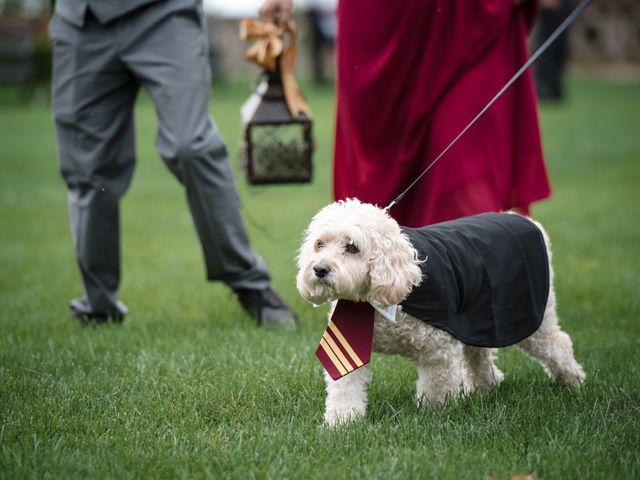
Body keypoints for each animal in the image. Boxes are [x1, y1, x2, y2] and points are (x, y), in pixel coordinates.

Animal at [296, 198, 584, 424]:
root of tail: (523, 219)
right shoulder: (349, 345)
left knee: (558, 343)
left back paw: (572, 381)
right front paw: (341, 422)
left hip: (532, 317)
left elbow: (436, 388)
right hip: (477, 320)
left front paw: (433, 415)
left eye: (352, 247)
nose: (319, 269)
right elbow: (345, 386)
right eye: (319, 244)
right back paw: (485, 387)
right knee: (480, 356)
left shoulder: (438, 349)